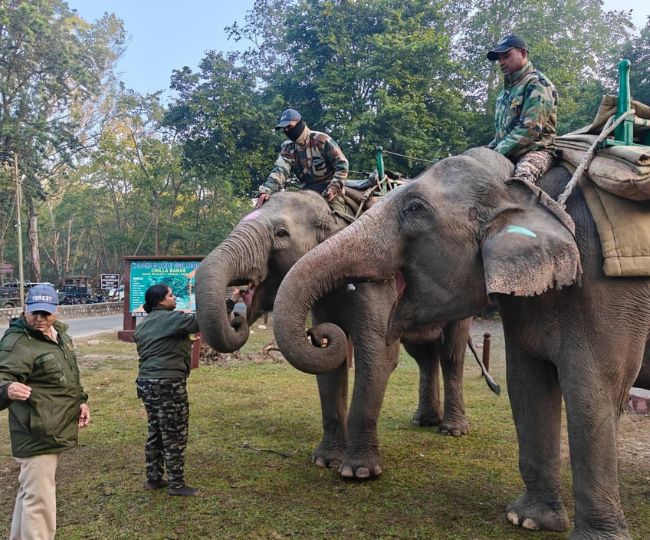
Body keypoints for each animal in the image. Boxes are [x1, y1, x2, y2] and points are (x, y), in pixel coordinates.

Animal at [195, 190, 477, 479]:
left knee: (451, 354)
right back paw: (424, 421)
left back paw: (452, 430)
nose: (235, 314)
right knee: (423, 355)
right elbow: (330, 367)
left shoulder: (375, 285)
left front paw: (359, 472)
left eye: (281, 233)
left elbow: (378, 356)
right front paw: (325, 461)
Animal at [271, 147, 650, 538]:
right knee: (427, 356)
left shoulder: (606, 288)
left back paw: (451, 430)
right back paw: (427, 422)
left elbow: (593, 390)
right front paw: (529, 520)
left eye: (415, 208)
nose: (320, 334)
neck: (525, 189)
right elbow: (525, 385)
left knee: (451, 355)